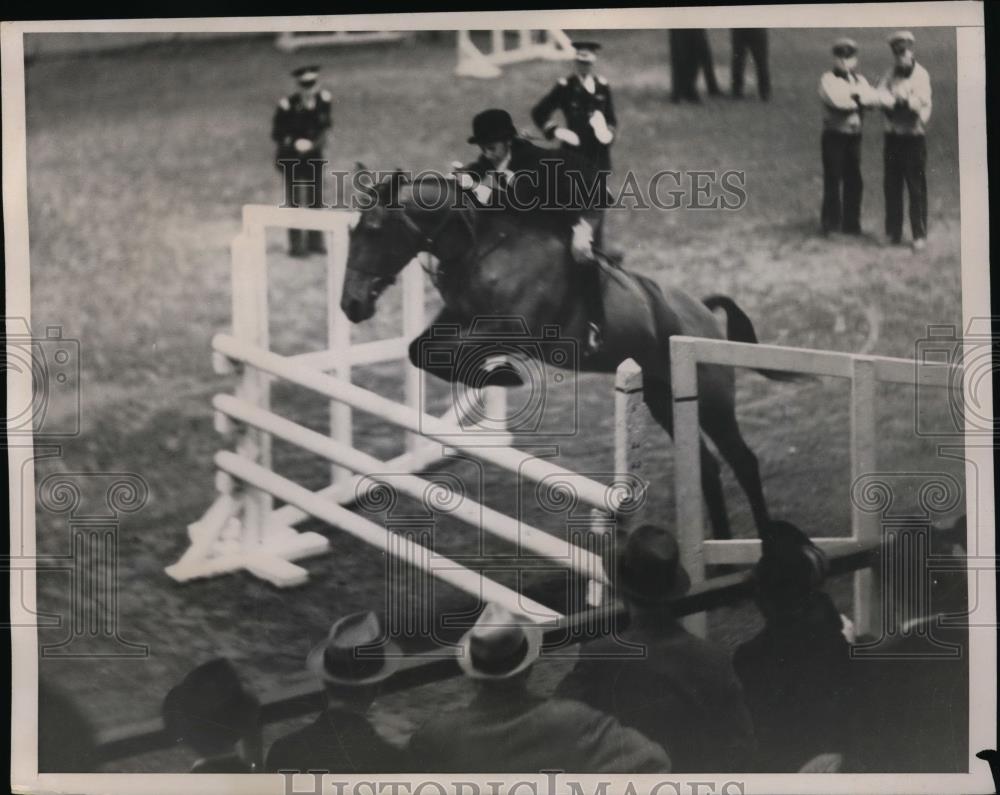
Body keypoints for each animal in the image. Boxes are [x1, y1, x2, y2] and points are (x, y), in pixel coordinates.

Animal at [344, 173, 796, 540]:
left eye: (373, 230)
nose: (351, 304)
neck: (481, 248)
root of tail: (704, 313)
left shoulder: (514, 331)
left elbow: (451, 353)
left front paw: (503, 374)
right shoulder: (458, 322)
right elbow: (421, 351)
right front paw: (496, 374)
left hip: (714, 402)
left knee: (743, 461)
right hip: (663, 398)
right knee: (707, 467)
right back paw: (717, 548)